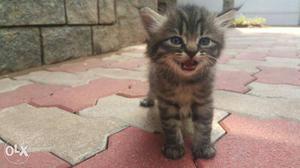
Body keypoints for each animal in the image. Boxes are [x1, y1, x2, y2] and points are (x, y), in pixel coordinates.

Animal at [139, 5, 236, 159]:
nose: (191, 51)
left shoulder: (204, 100)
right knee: (151, 89)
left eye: (204, 41)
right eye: (176, 40)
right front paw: (174, 147)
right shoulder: (167, 101)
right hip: (153, 75)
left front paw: (203, 146)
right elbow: (171, 126)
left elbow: (204, 125)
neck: (185, 82)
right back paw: (147, 100)